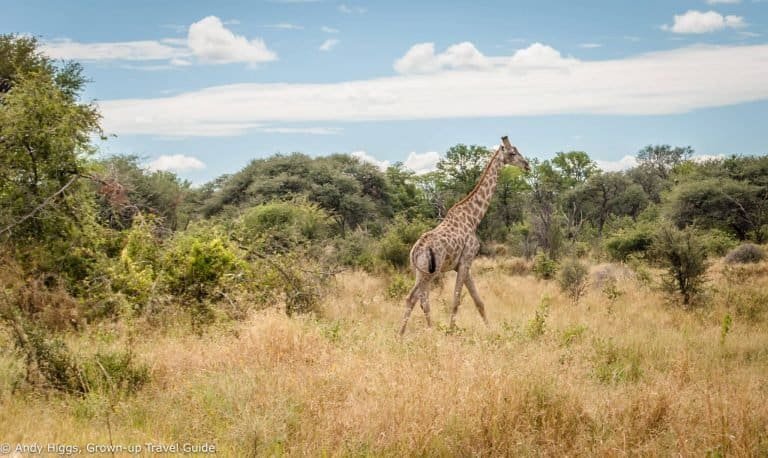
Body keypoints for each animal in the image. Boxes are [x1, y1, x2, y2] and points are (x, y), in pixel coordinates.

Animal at [399, 136, 531, 335]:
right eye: (512, 153)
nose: (527, 165)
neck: (473, 218)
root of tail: (415, 251)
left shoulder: (462, 265)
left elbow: (478, 301)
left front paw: (490, 330)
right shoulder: (466, 260)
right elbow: (456, 299)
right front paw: (451, 332)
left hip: (419, 272)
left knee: (417, 299)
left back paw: (403, 333)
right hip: (431, 273)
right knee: (416, 298)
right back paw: (427, 331)